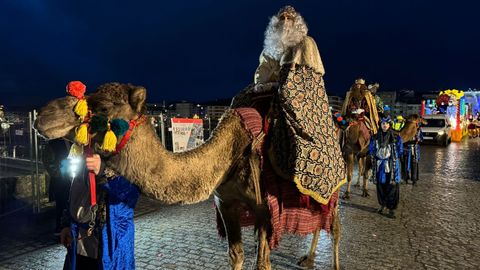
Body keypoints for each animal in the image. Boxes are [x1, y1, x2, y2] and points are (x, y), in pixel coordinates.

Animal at [33, 82, 342, 270]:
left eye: (105, 107)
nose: (43, 115)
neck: (230, 149)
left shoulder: (266, 210)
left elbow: (262, 263)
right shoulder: (226, 203)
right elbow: (236, 255)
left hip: (334, 184)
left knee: (334, 225)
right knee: (317, 218)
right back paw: (308, 259)